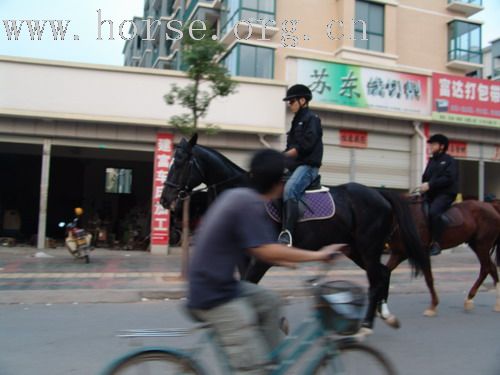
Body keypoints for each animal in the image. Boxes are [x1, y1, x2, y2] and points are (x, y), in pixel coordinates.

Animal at [161, 135, 430, 332]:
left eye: (181, 162)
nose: (165, 200)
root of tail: (379, 194)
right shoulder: (244, 258)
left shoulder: (261, 261)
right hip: (356, 250)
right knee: (382, 274)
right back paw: (385, 315)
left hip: (368, 248)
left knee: (376, 279)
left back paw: (366, 324)